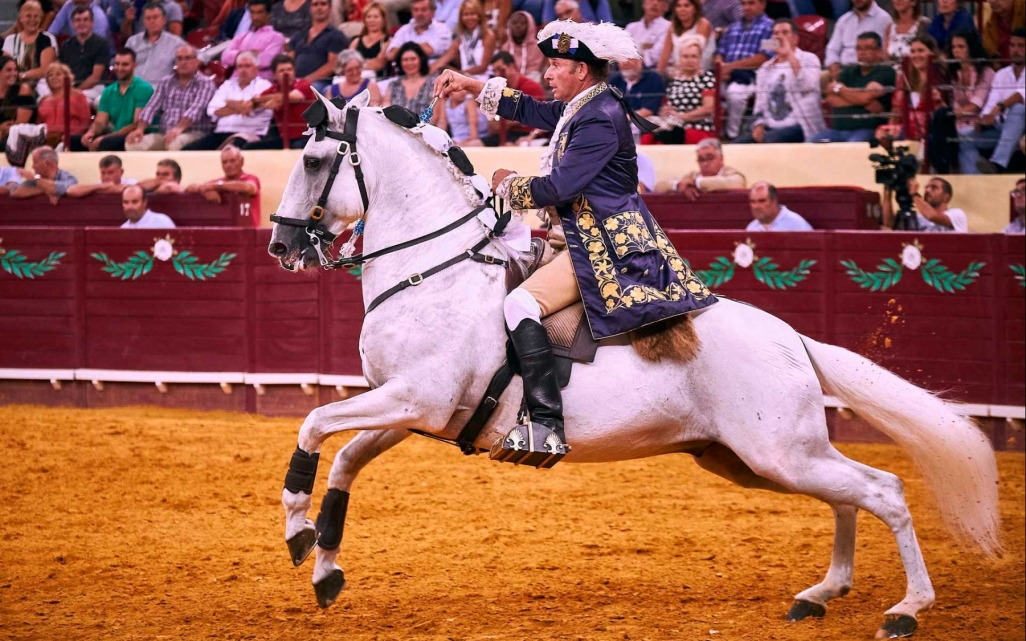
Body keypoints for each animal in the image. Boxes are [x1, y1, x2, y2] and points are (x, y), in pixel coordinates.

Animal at [268, 92, 997, 635]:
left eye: (312, 158)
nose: (279, 244)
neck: (432, 271)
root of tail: (791, 336)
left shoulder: (414, 397)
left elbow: (312, 427)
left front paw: (299, 532)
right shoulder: (411, 410)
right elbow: (345, 459)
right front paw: (325, 565)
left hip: (778, 452)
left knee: (884, 489)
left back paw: (905, 609)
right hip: (759, 458)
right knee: (849, 493)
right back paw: (821, 592)